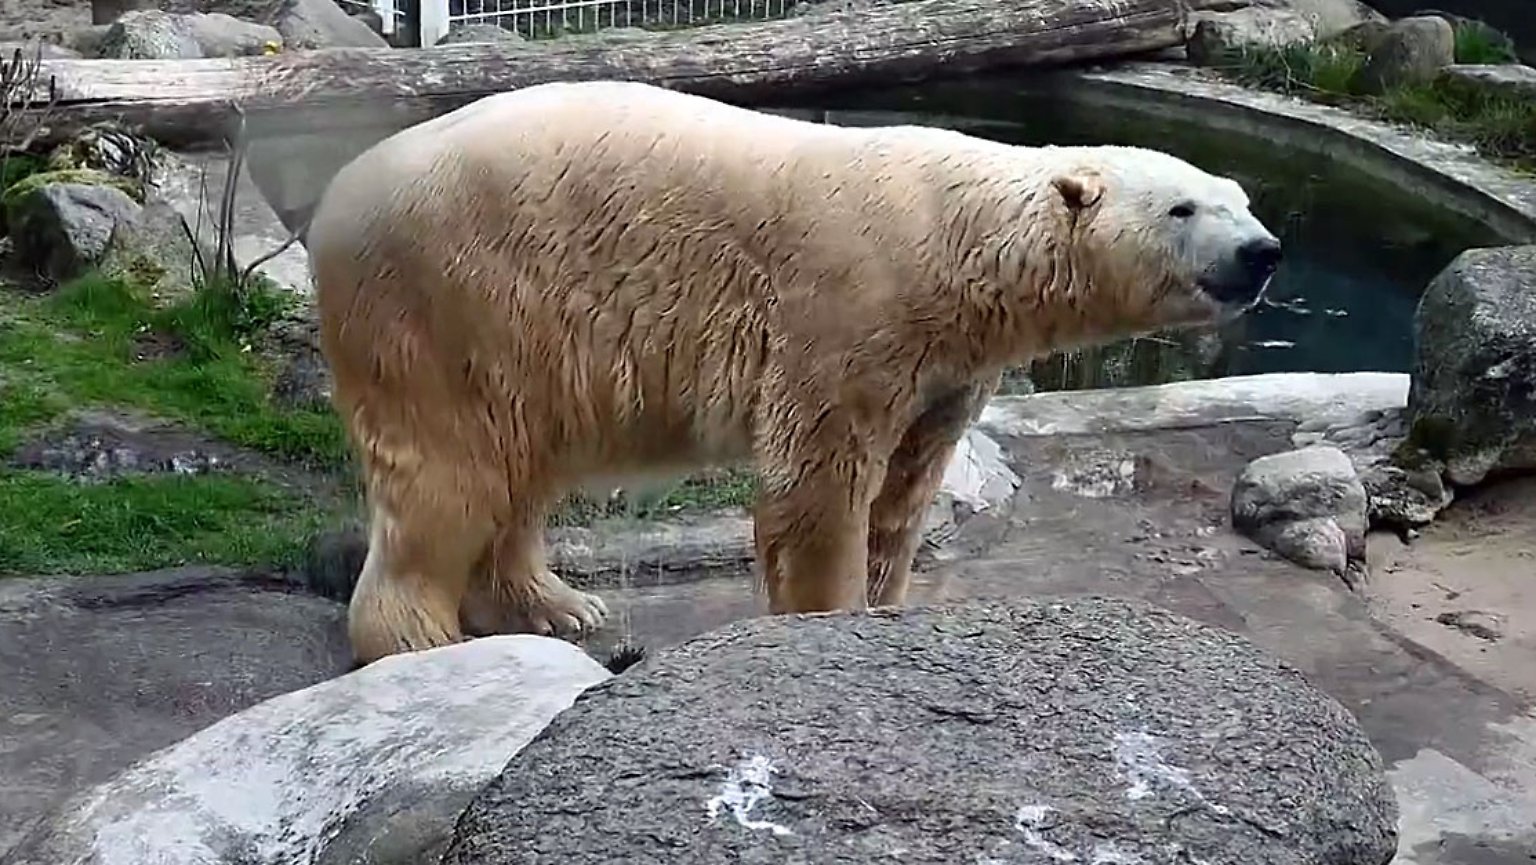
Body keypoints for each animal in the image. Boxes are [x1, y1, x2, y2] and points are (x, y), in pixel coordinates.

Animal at [302, 79, 1284, 663]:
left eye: (1242, 200)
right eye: (1183, 207)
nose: (1263, 252)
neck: (958, 238)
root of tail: (331, 201)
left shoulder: (945, 368)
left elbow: (905, 492)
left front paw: (888, 600)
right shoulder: (852, 305)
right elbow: (820, 483)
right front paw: (830, 618)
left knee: (519, 467)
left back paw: (563, 606)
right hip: (446, 300)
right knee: (451, 474)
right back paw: (419, 641)